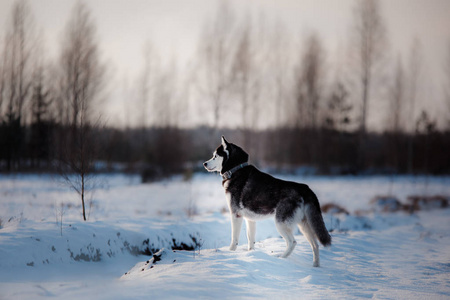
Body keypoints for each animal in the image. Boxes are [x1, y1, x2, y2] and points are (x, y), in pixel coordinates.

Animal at [204, 136, 330, 268]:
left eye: (215, 156)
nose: (204, 164)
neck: (235, 170)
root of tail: (304, 188)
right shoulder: (250, 219)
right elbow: (251, 240)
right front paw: (251, 254)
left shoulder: (235, 215)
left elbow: (234, 239)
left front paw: (231, 253)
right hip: (303, 225)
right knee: (315, 244)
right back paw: (315, 266)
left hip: (281, 223)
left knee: (292, 242)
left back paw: (281, 258)